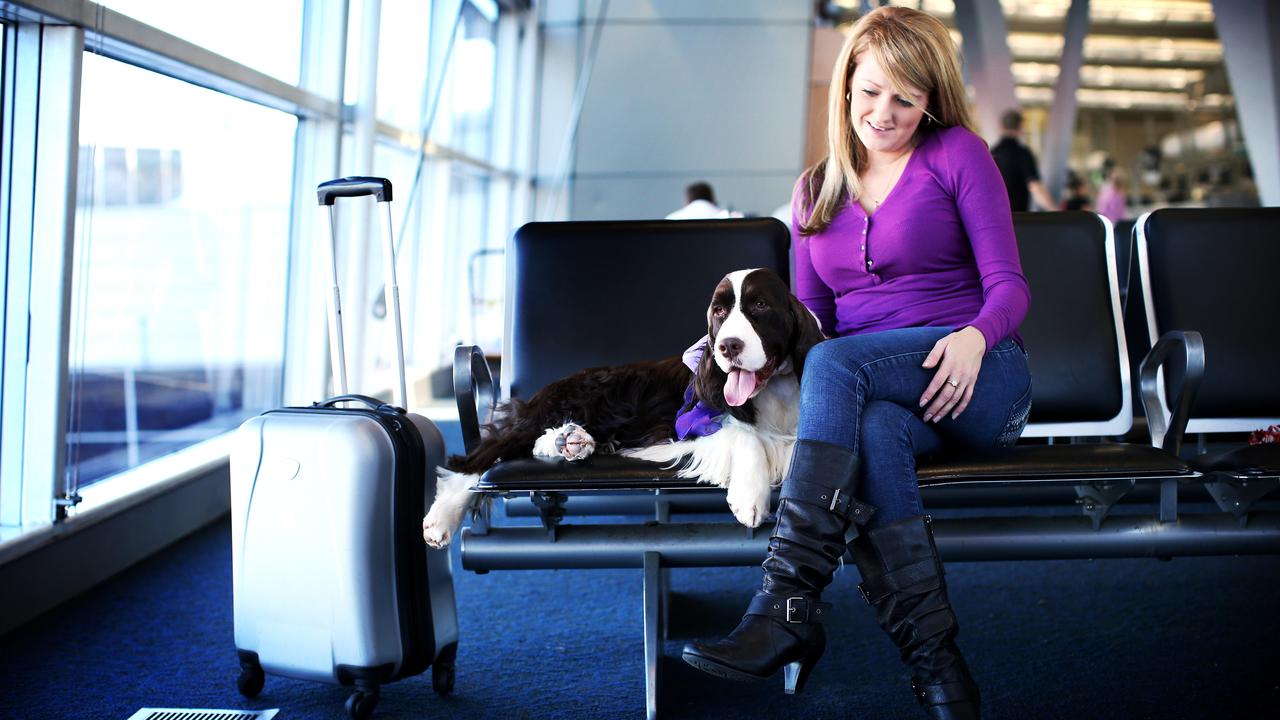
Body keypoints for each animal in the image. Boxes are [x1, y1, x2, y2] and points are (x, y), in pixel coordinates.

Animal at [419, 266, 819, 545]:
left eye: (760, 305)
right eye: (719, 311)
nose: (727, 346)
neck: (774, 388)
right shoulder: (680, 428)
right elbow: (745, 434)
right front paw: (749, 499)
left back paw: (572, 441)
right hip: (584, 398)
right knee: (485, 454)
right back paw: (439, 520)